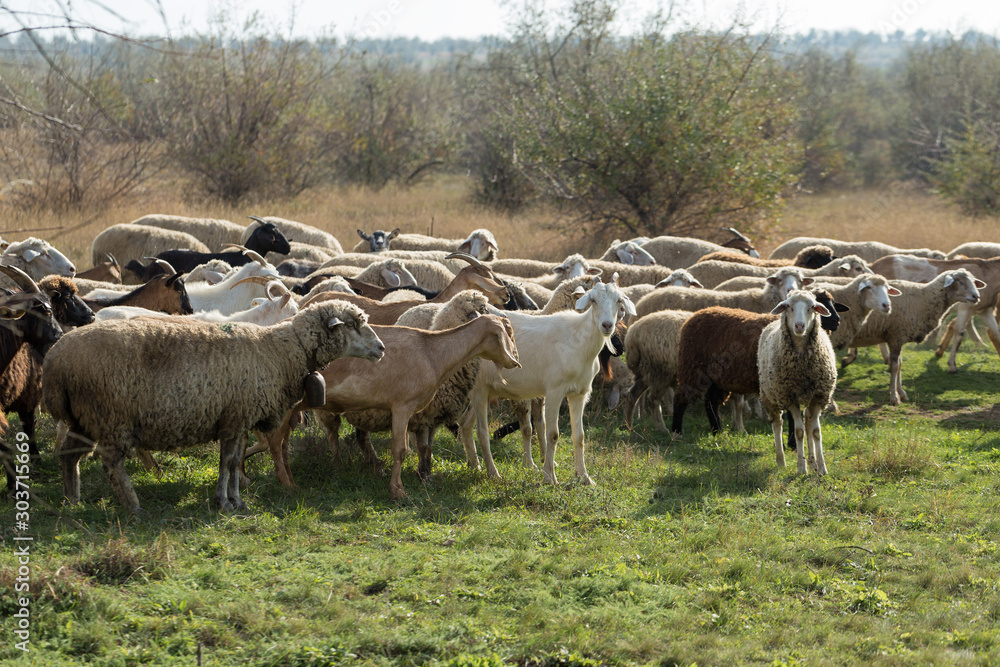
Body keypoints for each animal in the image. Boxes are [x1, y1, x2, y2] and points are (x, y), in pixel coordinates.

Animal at [46, 300, 385, 514]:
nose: (381, 348)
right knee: (111, 464)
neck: (280, 351)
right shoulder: (235, 417)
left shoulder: (238, 418)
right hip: (110, 415)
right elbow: (226, 463)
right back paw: (133, 506)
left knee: (69, 456)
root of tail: (55, 359)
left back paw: (72, 500)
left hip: (82, 417)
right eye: (352, 325)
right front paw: (223, 502)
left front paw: (237, 500)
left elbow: (234, 463)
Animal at [255, 314, 520, 498]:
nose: (515, 362)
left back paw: (290, 480)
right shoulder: (401, 406)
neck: (432, 353)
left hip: (294, 408)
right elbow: (400, 450)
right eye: (508, 333)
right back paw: (287, 485)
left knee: (283, 443)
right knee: (275, 443)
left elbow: (421, 447)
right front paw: (397, 490)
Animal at [460, 278, 636, 485]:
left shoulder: (579, 393)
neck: (578, 341)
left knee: (465, 424)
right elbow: (552, 434)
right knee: (482, 432)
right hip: (479, 388)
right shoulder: (554, 391)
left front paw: (585, 477)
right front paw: (549, 477)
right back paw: (493, 473)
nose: (607, 325)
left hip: (486, 390)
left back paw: (474, 464)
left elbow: (579, 436)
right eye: (593, 300)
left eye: (619, 301)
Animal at [757, 290, 838, 474]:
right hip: (769, 395)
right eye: (788, 306)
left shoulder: (818, 396)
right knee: (777, 423)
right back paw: (781, 461)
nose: (800, 326)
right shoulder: (790, 397)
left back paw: (813, 462)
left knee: (808, 421)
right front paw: (801, 468)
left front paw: (822, 468)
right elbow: (799, 431)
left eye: (812, 307)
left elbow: (815, 431)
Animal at [847, 270, 984, 405]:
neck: (923, 299)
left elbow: (899, 365)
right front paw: (894, 397)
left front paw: (901, 393)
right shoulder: (895, 337)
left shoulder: (899, 338)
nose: (976, 297)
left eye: (973, 281)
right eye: (958, 281)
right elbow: (894, 367)